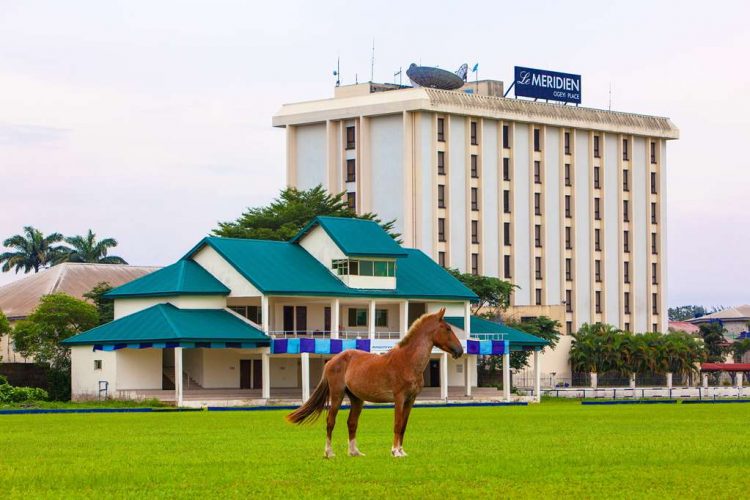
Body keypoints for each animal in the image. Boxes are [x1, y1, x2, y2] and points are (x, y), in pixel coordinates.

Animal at [288, 308, 464, 458]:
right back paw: (329, 453)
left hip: (357, 399)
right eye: (447, 328)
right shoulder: (399, 398)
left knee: (352, 423)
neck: (408, 361)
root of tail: (332, 361)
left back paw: (354, 452)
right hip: (337, 395)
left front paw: (402, 451)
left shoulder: (411, 400)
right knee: (330, 422)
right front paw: (395, 452)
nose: (460, 351)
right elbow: (397, 424)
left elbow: (404, 426)